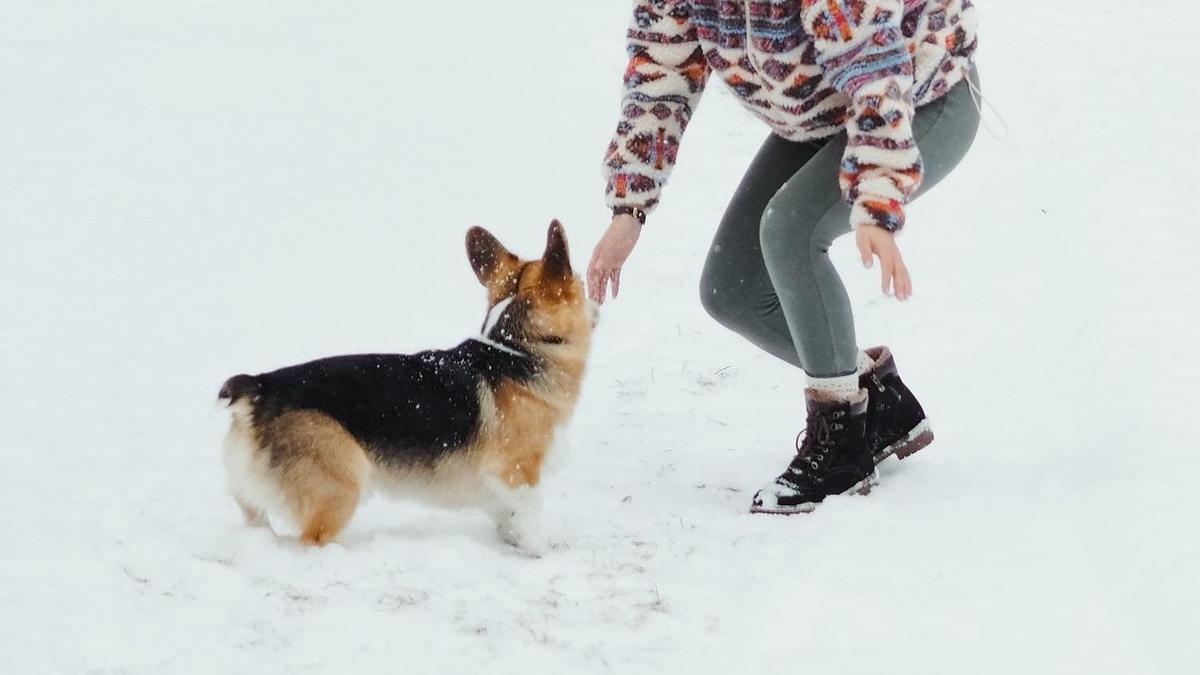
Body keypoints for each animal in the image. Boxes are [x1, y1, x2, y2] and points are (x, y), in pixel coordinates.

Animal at [218, 220, 592, 552]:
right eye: (579, 280)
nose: (596, 299)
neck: (513, 348)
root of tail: (259, 387)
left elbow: (507, 519)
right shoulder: (518, 473)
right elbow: (530, 519)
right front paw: (539, 552)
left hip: (256, 503)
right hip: (343, 484)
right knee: (315, 540)